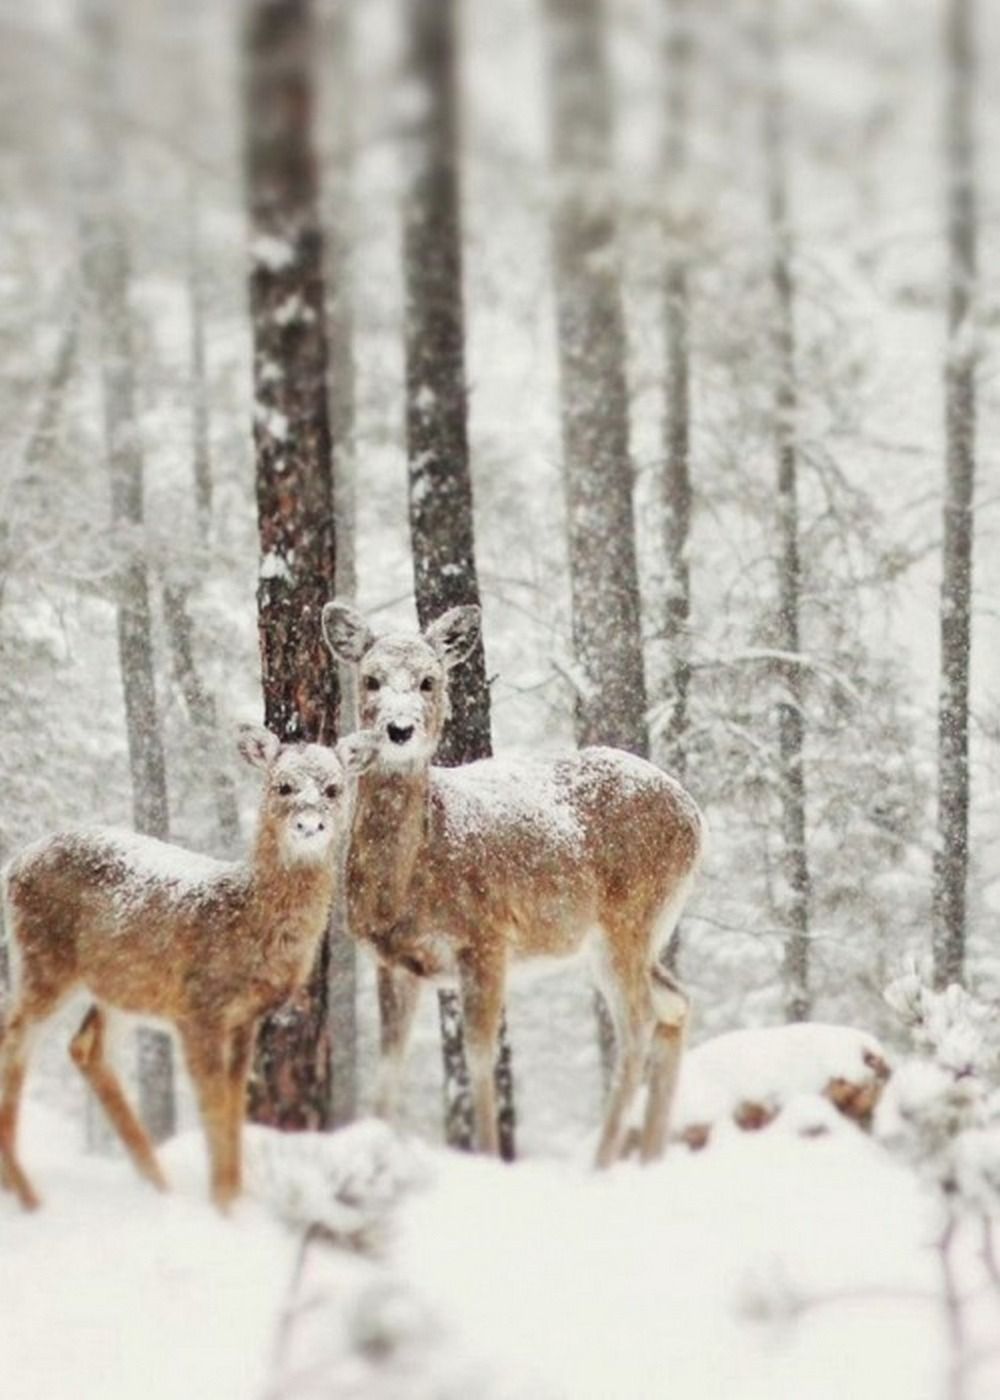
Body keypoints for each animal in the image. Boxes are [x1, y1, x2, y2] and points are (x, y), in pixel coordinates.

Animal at [0, 728, 375, 1209]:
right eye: (283, 786)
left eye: (333, 789)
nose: (310, 825)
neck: (242, 917)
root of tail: (14, 865)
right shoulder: (199, 1008)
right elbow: (213, 1104)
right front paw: (222, 1205)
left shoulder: (244, 1018)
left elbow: (234, 1104)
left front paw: (233, 1195)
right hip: (44, 959)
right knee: (15, 1039)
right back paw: (27, 1193)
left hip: (121, 985)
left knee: (86, 1048)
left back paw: (156, 1183)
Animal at [320, 604, 700, 1170]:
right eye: (370, 679)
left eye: (429, 680)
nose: (399, 729)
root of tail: (696, 816)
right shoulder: (393, 960)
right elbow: (390, 1066)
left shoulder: (487, 939)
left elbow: (480, 1057)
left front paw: (487, 1156)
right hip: (632, 937)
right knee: (676, 1003)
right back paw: (649, 1156)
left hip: (629, 918)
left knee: (638, 1023)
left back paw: (602, 1160)